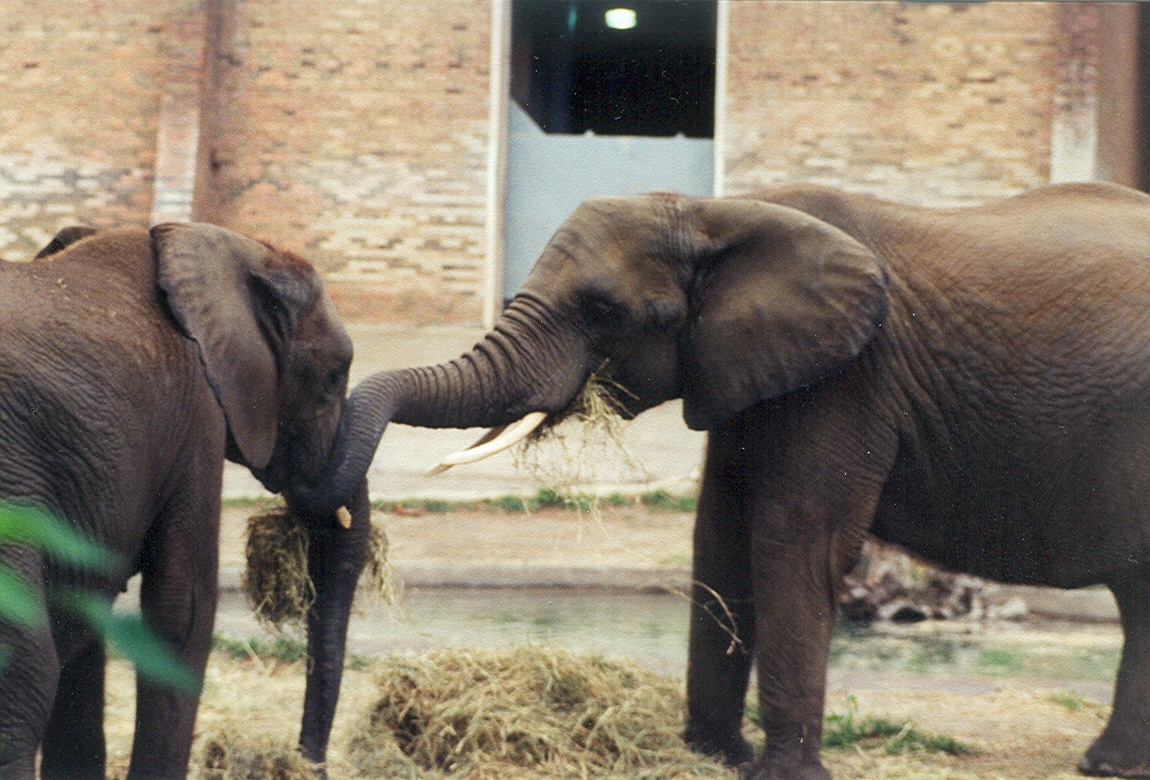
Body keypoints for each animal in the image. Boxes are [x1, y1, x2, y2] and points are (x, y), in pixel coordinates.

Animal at [294, 180, 1150, 779]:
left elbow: (792, 541)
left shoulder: (848, 377)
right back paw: (1108, 764)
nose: (313, 757)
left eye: (600, 309)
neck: (716, 214)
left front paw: (782, 773)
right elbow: (720, 537)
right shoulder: (744, 368)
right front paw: (713, 756)